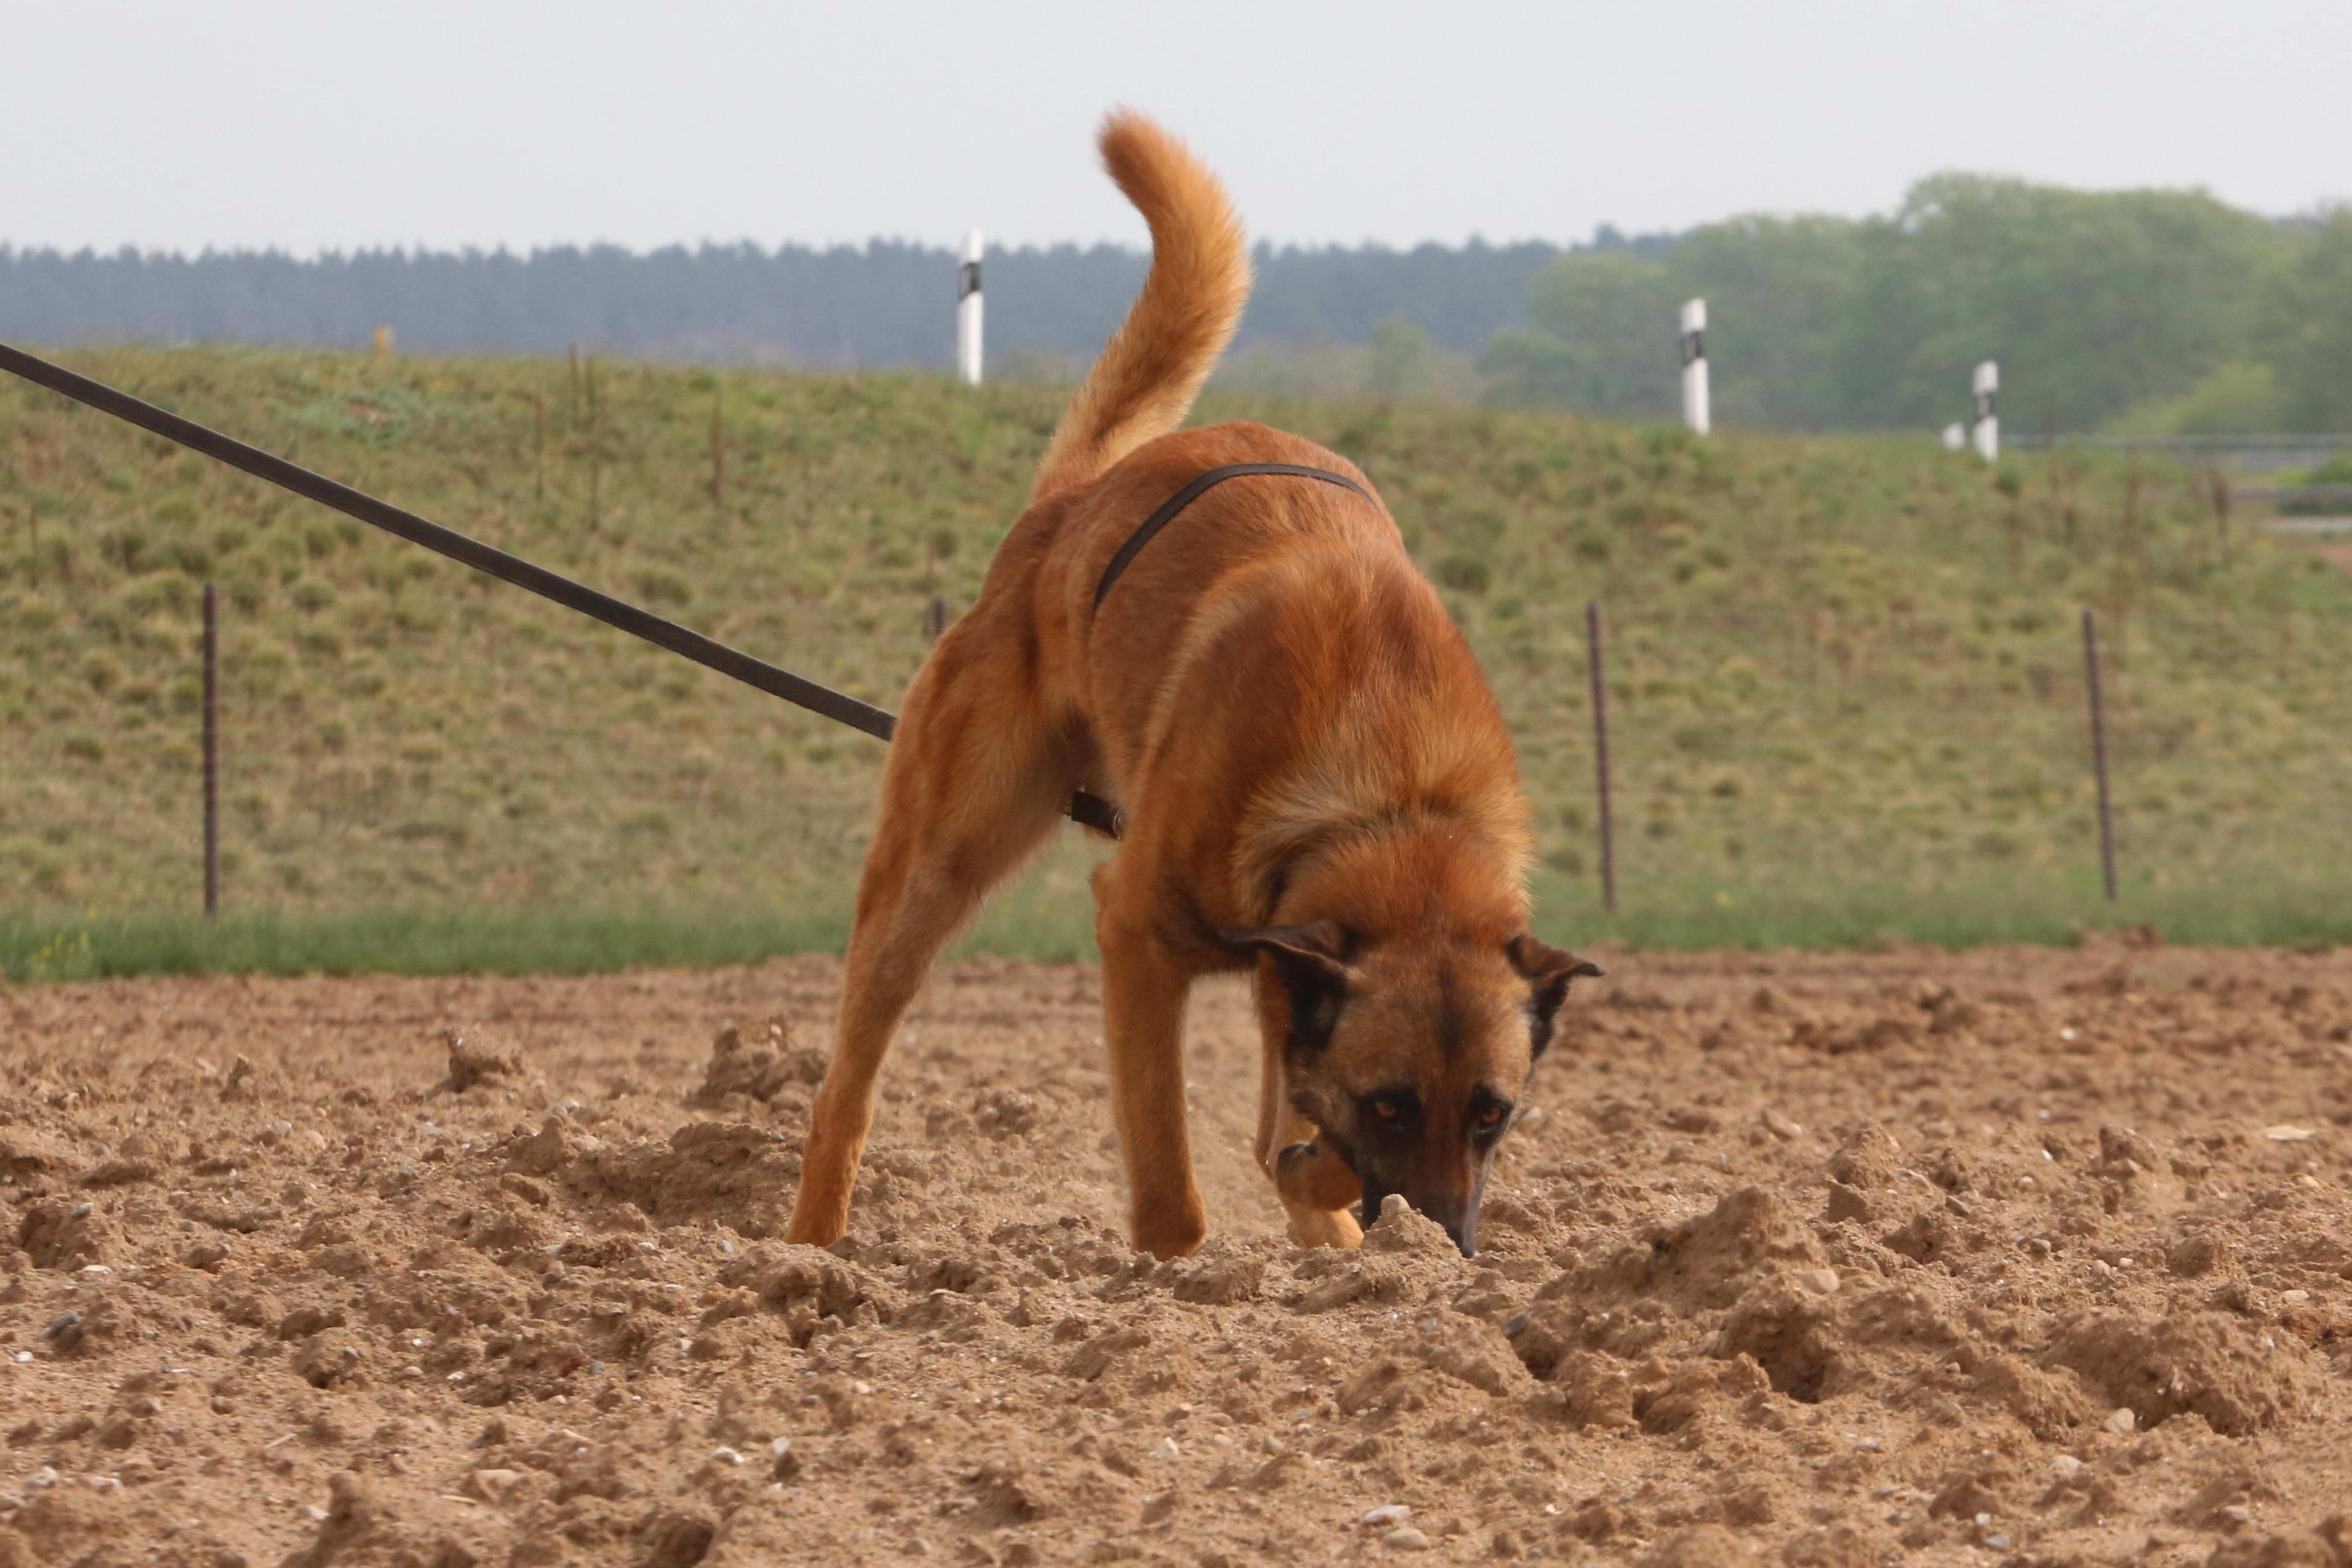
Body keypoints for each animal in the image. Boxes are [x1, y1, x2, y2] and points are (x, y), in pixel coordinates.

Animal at [790, 110, 1599, 1260]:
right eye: (1394, 1103)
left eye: (1495, 1111)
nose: (1450, 1252)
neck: (1388, 791)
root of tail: (1071, 502)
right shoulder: (1134, 934)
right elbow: (1174, 1177)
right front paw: (1179, 1281)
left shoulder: (1288, 980)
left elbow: (1287, 1143)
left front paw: (1330, 1212)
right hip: (933, 872)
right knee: (847, 1084)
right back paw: (808, 1244)